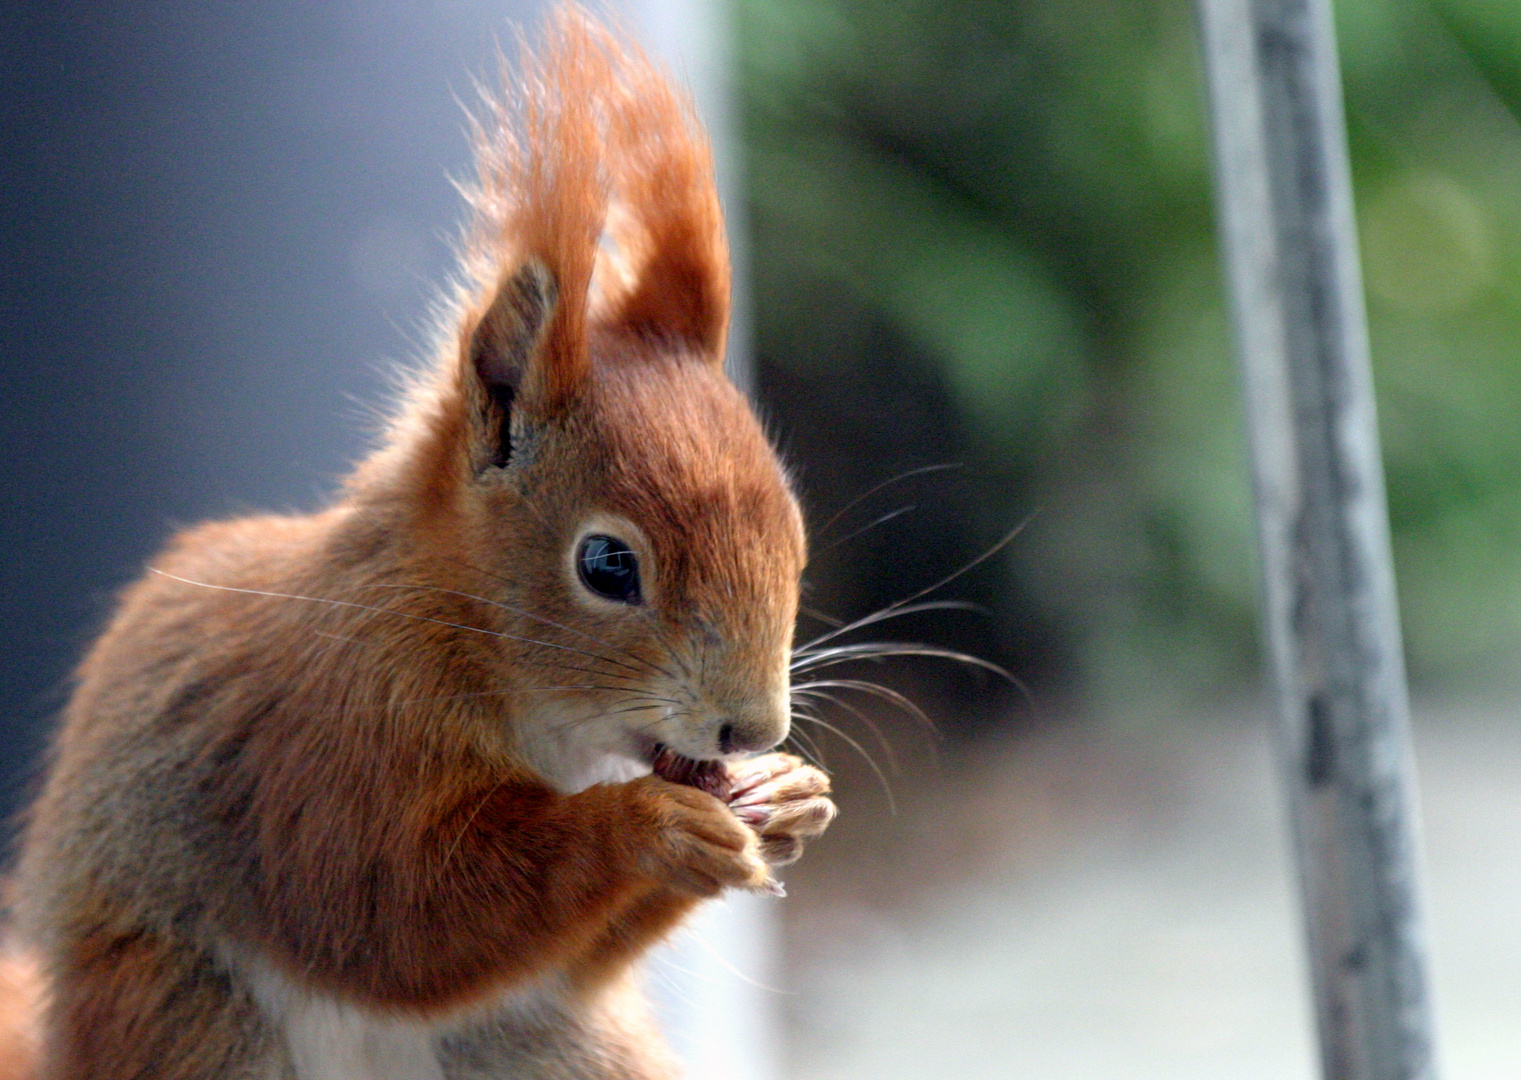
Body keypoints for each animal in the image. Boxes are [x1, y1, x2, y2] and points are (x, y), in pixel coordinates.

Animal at [8, 6, 833, 1076]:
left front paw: (790, 795)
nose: (753, 731)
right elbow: (384, 910)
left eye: (793, 531)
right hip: (185, 1015)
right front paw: (640, 825)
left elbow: (560, 955)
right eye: (607, 565)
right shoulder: (330, 733)